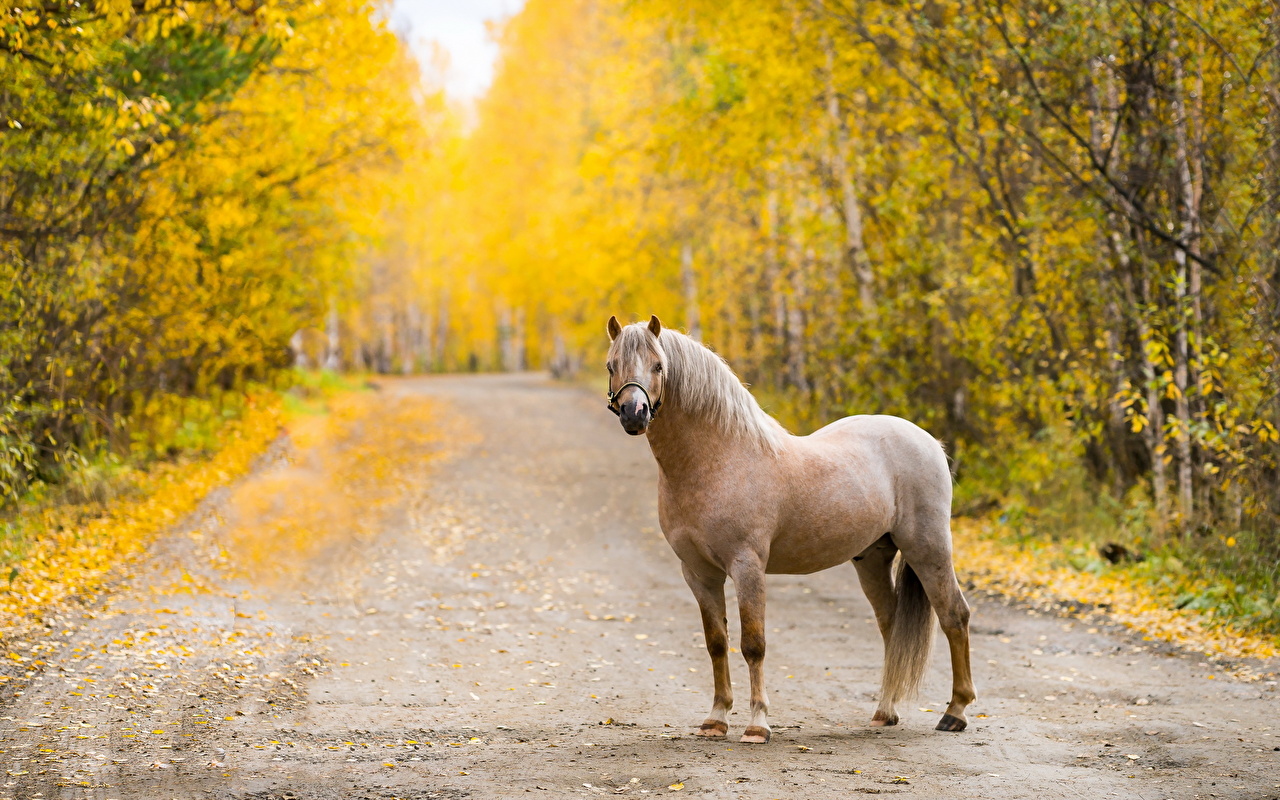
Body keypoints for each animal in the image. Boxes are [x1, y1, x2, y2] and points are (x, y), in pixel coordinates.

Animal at [604, 314, 975, 744]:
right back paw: (885, 712)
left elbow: (753, 644)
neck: (719, 459)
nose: (634, 413)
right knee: (891, 626)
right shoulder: (699, 573)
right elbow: (716, 643)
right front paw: (715, 720)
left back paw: (955, 712)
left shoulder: (747, 566)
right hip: (872, 558)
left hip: (928, 547)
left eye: (659, 366)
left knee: (954, 615)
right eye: (612, 364)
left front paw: (757, 725)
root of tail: (928, 440)